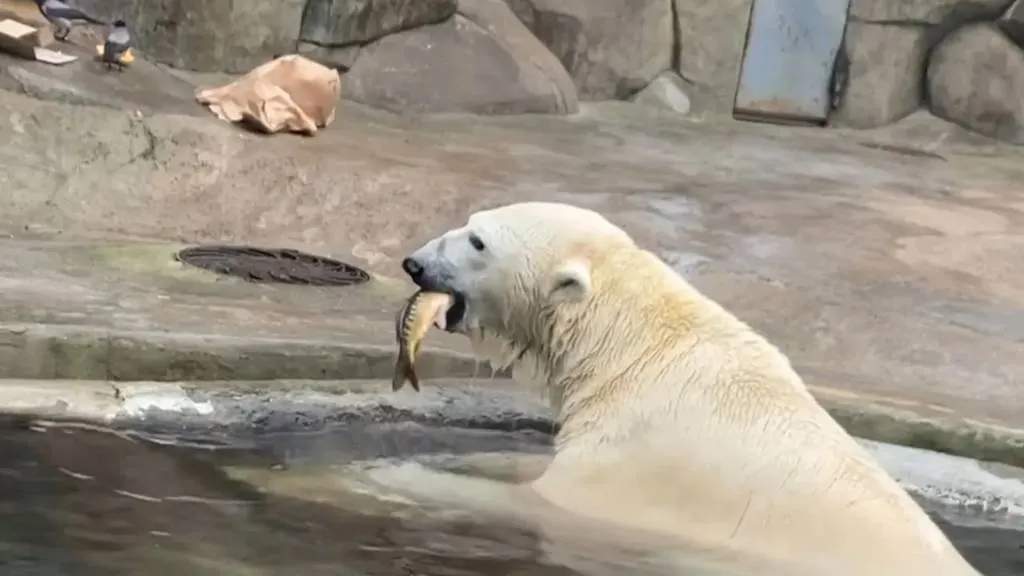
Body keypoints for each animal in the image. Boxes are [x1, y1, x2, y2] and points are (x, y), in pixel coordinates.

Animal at [395, 201, 978, 573]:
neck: (632, 345)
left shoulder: (632, 461)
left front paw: (399, 477)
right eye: (471, 223)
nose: (415, 263)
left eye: (478, 241)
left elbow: (535, 498)